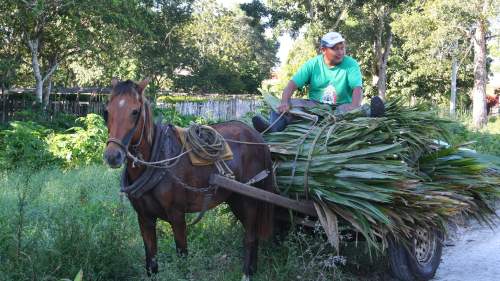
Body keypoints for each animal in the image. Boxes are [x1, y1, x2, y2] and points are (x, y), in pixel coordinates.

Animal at [103, 78, 276, 278]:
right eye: (107, 112)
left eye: (135, 111)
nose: (112, 156)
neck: (157, 160)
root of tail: (257, 137)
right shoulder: (144, 218)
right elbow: (151, 262)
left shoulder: (177, 216)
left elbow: (182, 257)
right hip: (235, 199)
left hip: (248, 200)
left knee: (250, 237)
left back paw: (247, 273)